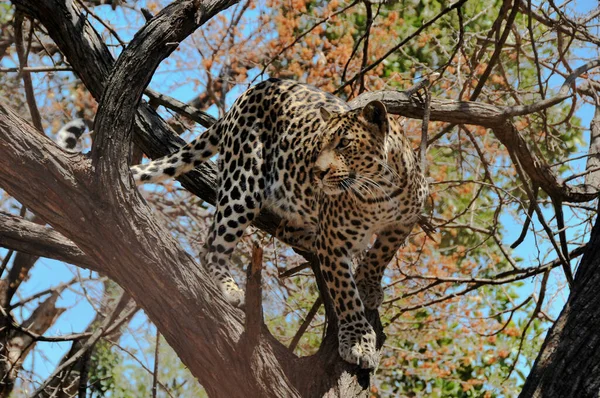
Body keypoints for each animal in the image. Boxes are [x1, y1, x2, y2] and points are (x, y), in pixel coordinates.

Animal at [131, 78, 428, 370]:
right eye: (319, 145)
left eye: (344, 143)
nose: (317, 173)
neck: (380, 191)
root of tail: (252, 90)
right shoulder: (333, 241)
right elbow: (345, 294)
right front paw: (357, 340)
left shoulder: (404, 222)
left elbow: (382, 254)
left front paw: (368, 284)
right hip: (243, 185)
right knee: (212, 248)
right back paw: (232, 290)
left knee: (286, 229)